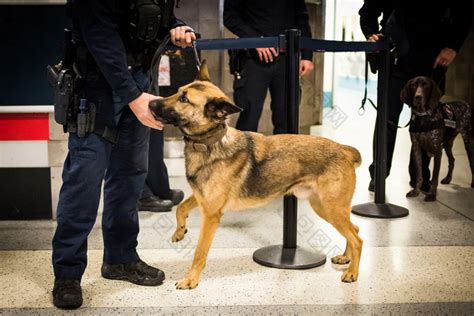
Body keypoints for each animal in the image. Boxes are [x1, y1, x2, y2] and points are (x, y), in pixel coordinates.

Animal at [151, 61, 362, 288]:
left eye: (184, 99)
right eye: (177, 91)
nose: (150, 103)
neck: (209, 143)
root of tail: (343, 149)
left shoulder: (211, 214)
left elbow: (199, 252)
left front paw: (191, 279)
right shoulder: (201, 199)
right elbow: (180, 208)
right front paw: (180, 231)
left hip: (331, 209)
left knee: (357, 239)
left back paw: (352, 272)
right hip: (324, 207)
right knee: (355, 229)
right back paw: (346, 258)